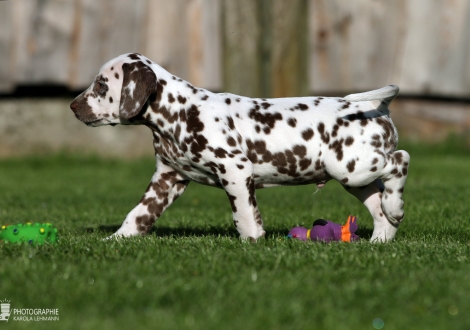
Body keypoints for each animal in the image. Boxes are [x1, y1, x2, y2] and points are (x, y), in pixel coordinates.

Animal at [68, 53, 410, 242]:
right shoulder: (167, 179)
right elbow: (137, 215)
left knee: (400, 161)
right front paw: (116, 240)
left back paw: (396, 206)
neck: (181, 113)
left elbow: (244, 215)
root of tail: (374, 107)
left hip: (352, 168)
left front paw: (253, 241)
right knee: (380, 209)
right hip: (356, 179)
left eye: (101, 85)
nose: (72, 106)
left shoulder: (235, 171)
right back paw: (381, 237)